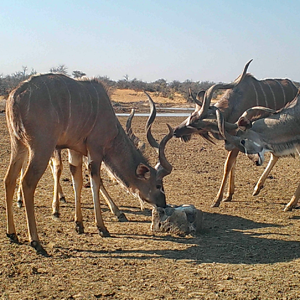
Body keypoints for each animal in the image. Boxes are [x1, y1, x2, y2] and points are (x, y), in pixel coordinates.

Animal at [5, 74, 171, 255]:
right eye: (158, 185)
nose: (163, 204)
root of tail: (15, 96)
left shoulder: (75, 150)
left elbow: (77, 181)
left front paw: (79, 225)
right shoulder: (95, 150)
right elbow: (95, 183)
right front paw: (102, 227)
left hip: (18, 144)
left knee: (9, 179)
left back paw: (12, 234)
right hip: (41, 147)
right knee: (27, 182)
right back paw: (36, 242)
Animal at [173, 59, 298, 207]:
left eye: (196, 124)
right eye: (191, 115)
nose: (176, 131)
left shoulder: (240, 140)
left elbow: (228, 165)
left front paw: (217, 199)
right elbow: (232, 164)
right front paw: (229, 195)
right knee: (275, 155)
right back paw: (257, 188)